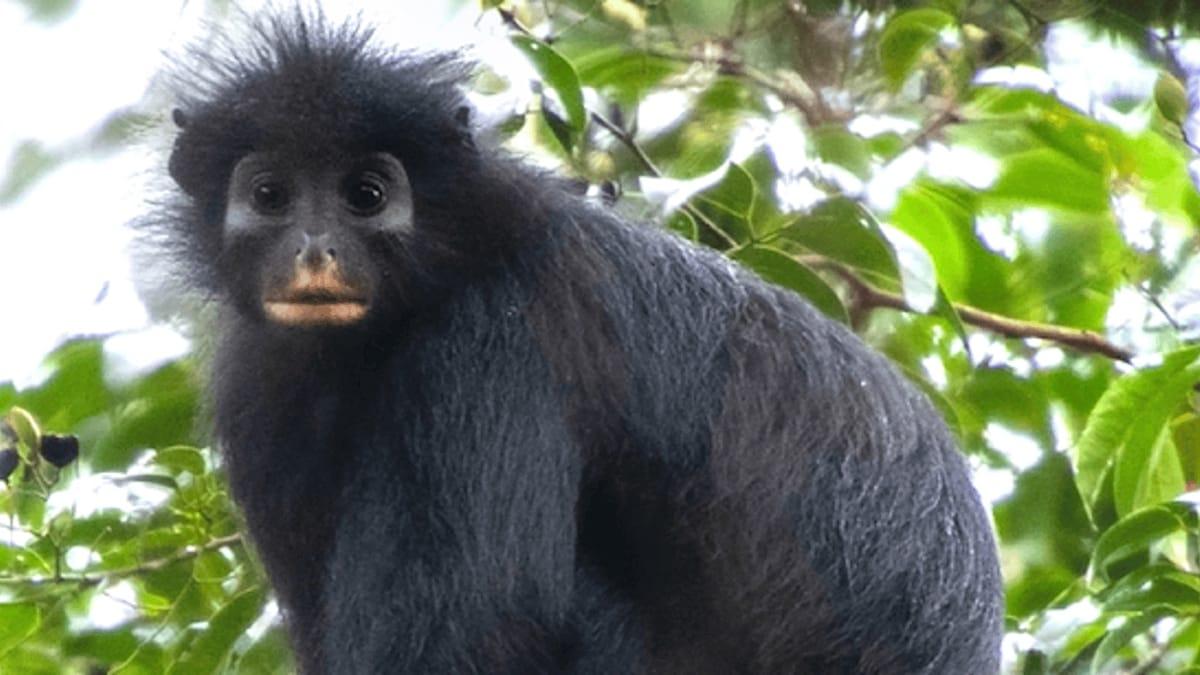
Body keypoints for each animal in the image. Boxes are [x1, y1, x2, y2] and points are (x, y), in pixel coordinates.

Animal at [146, 10, 1003, 674]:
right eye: (271, 195)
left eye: (365, 195)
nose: (315, 250)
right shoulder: (261, 386)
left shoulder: (494, 340)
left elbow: (481, 629)